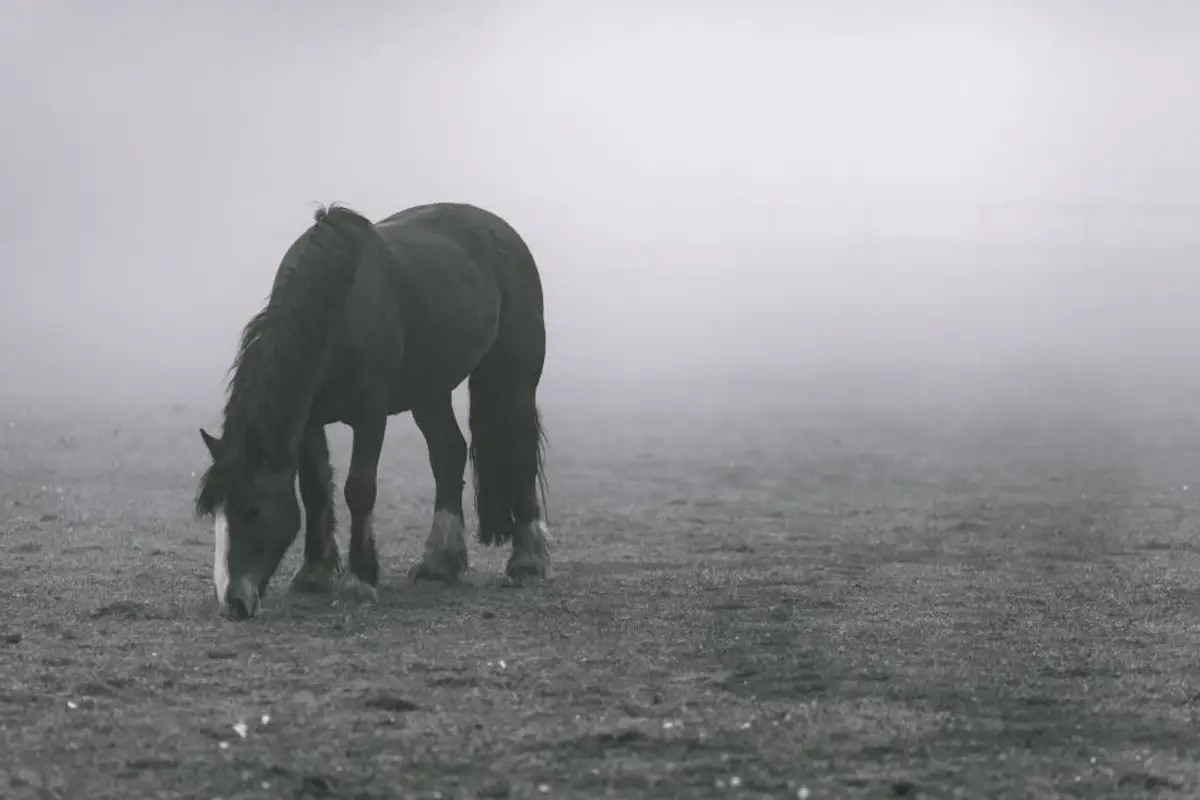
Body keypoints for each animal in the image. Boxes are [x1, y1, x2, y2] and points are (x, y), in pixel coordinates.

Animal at [194, 202, 550, 620]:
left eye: (252, 510)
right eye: (215, 513)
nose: (232, 602)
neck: (338, 308)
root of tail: (503, 231)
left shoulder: (371, 412)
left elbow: (359, 488)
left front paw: (359, 581)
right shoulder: (309, 420)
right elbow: (314, 488)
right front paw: (314, 574)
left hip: (515, 378)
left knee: (521, 451)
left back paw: (527, 561)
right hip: (429, 391)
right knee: (448, 453)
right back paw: (439, 562)